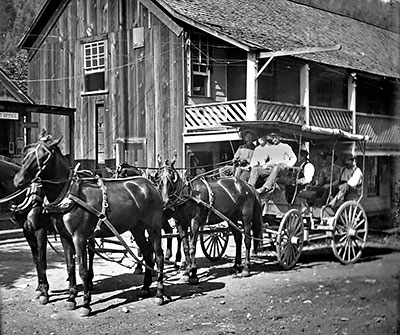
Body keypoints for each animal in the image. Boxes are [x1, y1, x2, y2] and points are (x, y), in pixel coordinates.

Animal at [0, 159, 76, 306]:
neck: (28, 195)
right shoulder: (27, 232)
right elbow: (36, 260)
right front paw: (39, 288)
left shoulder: (40, 230)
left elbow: (42, 260)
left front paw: (44, 292)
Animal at [12, 138, 166, 316]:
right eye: (25, 154)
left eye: (44, 156)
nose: (18, 180)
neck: (68, 194)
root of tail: (150, 184)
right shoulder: (65, 237)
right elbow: (70, 267)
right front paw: (71, 298)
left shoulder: (78, 237)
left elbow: (82, 270)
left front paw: (85, 303)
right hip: (137, 228)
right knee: (147, 252)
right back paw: (146, 288)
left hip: (154, 227)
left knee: (159, 256)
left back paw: (159, 293)